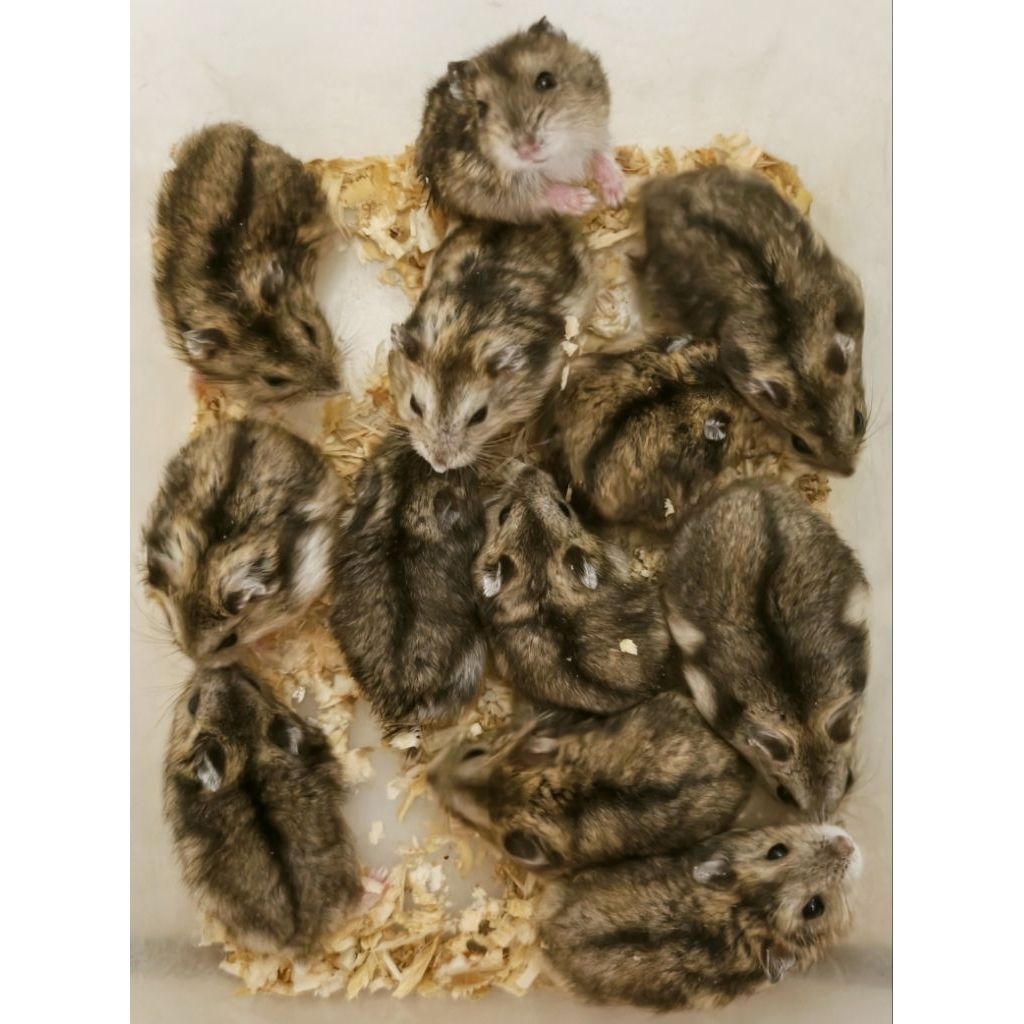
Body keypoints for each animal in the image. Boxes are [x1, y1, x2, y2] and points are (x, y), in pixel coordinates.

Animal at [415, 17, 624, 222]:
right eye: (481, 108)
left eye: (546, 81)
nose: (527, 150)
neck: (556, 159)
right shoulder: (491, 191)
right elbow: (538, 193)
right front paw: (585, 200)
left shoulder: (597, 128)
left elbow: (599, 155)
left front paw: (617, 193)